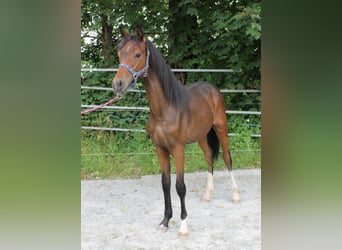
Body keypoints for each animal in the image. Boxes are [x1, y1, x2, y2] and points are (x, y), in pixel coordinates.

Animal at [112, 25, 240, 236]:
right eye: (120, 54)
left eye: (138, 54)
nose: (118, 84)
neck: (164, 110)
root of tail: (212, 89)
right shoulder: (160, 149)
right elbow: (165, 184)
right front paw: (165, 221)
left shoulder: (178, 149)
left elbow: (180, 186)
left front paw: (183, 226)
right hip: (202, 136)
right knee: (209, 157)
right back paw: (207, 194)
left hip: (221, 128)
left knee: (227, 158)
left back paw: (236, 195)